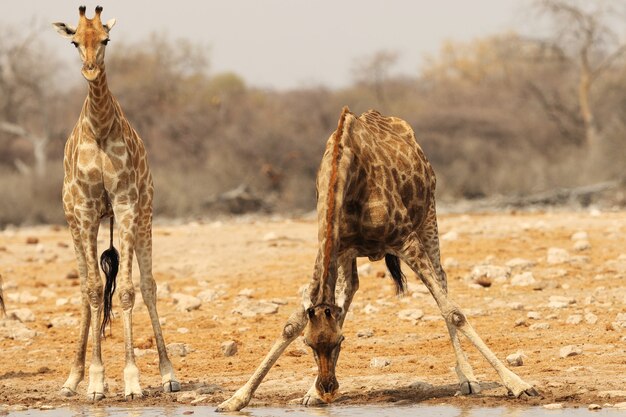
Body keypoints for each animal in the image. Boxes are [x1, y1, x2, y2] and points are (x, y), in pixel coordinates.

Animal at [52, 4, 179, 398]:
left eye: (106, 39)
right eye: (75, 41)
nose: (91, 69)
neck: (100, 129)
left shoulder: (125, 204)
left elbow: (125, 291)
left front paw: (132, 380)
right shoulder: (86, 210)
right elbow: (94, 290)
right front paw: (95, 380)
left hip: (144, 215)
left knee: (149, 287)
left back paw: (168, 374)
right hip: (75, 223)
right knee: (84, 290)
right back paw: (71, 379)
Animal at [217, 106, 532, 410]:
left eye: (341, 340)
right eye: (308, 344)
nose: (327, 388)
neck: (346, 173)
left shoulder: (406, 239)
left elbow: (452, 311)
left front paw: (518, 384)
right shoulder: (334, 247)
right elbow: (292, 323)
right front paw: (237, 399)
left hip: (428, 216)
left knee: (442, 280)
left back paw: (467, 379)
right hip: (354, 253)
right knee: (351, 289)